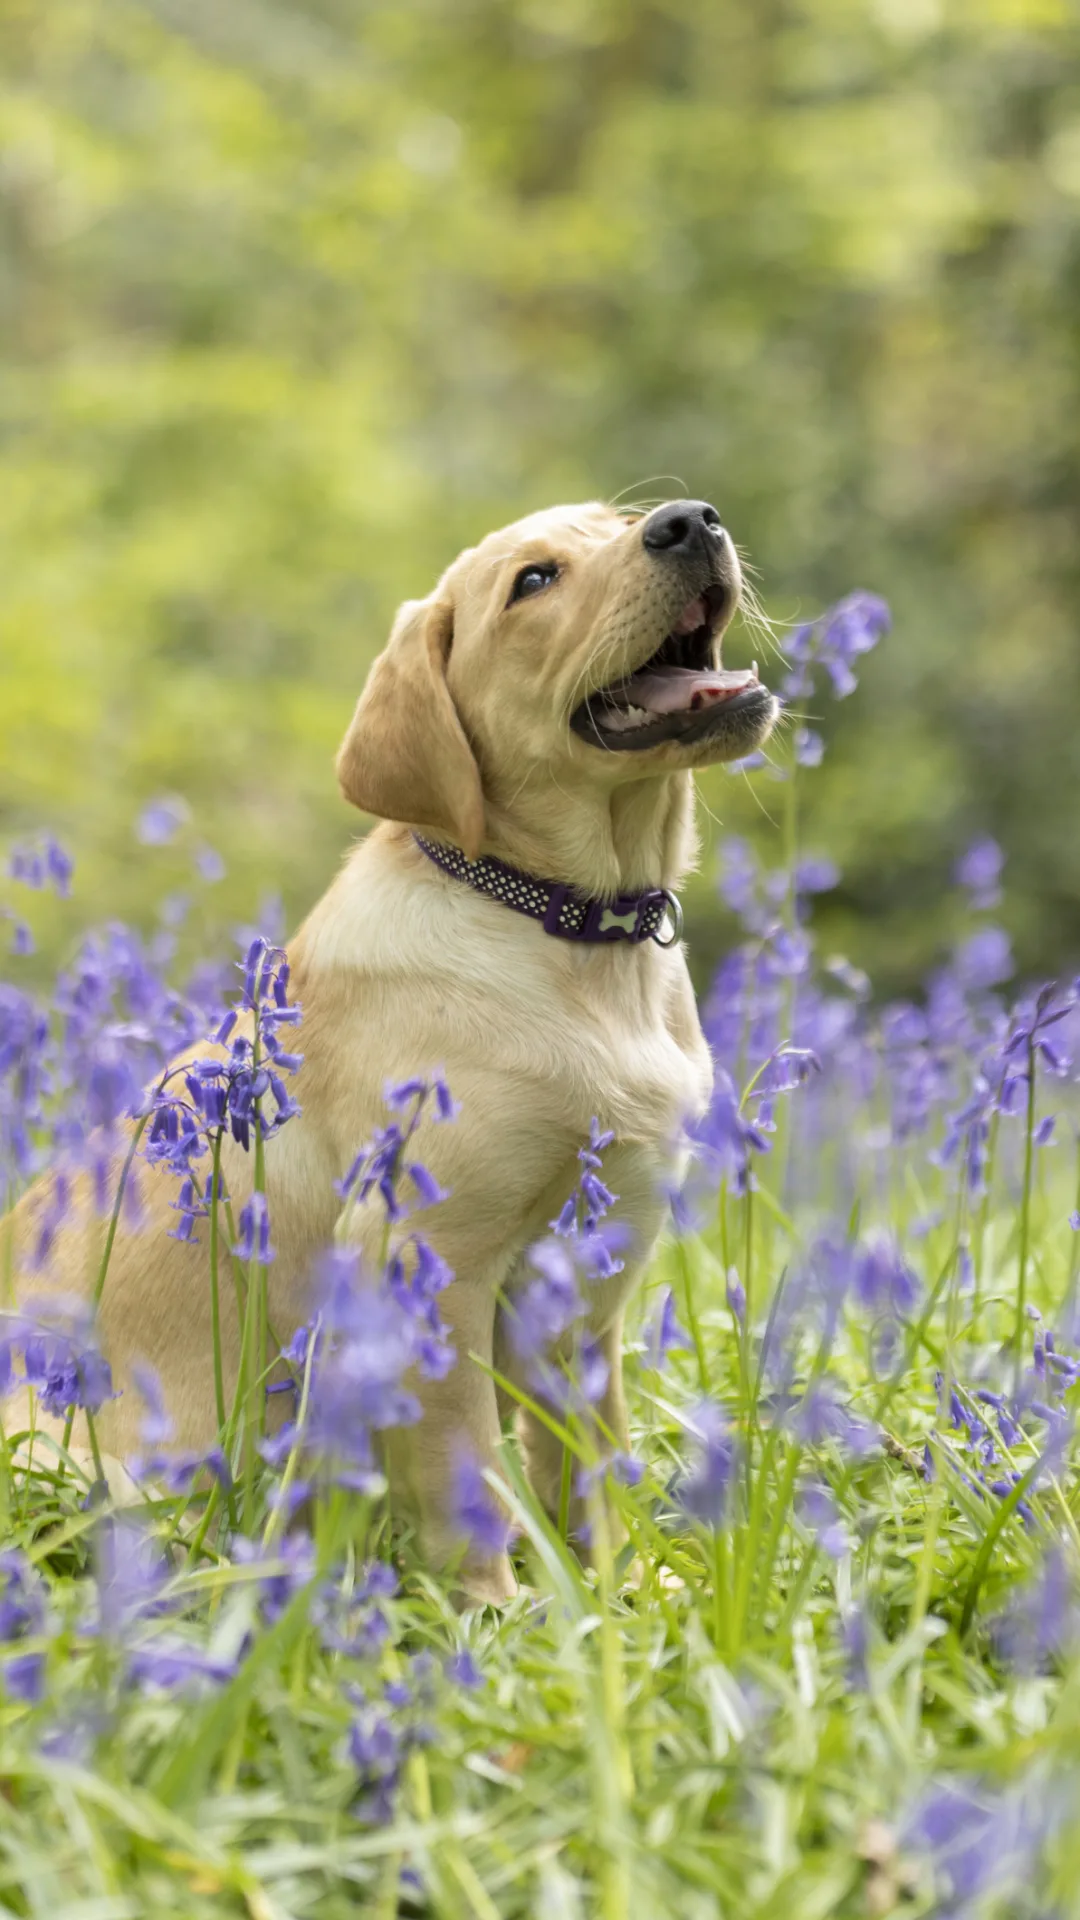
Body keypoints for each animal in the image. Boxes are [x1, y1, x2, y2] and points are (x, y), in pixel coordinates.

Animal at [6, 491, 772, 1589]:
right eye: (533, 580)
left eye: (619, 518)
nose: (687, 519)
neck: (570, 930)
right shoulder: (425, 1253)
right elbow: (469, 1473)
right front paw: (501, 1613)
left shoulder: (587, 1273)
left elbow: (591, 1466)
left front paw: (617, 1594)